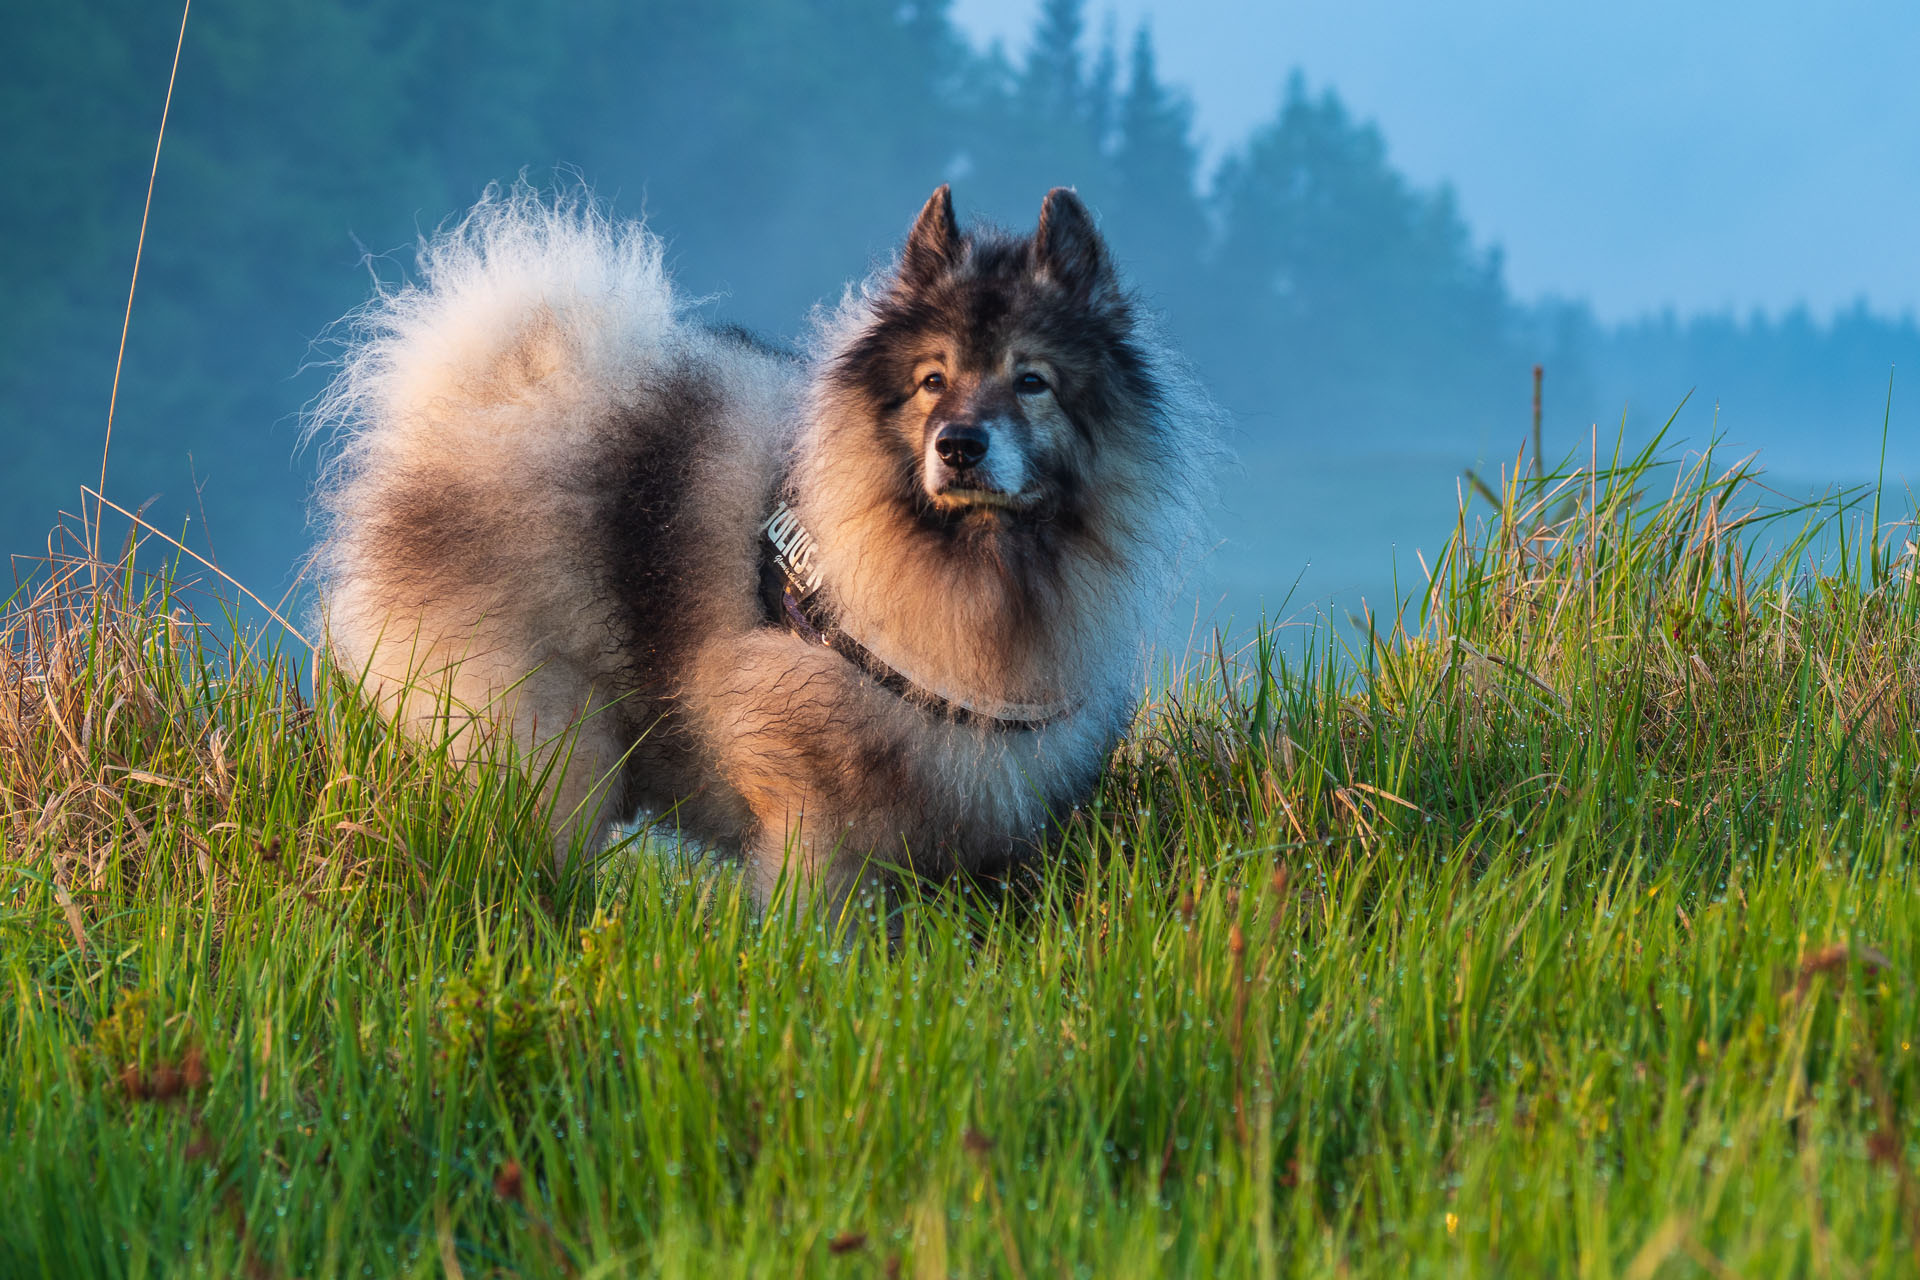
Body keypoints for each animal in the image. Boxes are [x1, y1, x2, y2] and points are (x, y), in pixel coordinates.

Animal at [312, 180, 1213, 905]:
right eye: (932, 380)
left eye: (1032, 382)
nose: (959, 444)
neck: (975, 571)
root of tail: (473, 411)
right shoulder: (815, 805)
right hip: (548, 743)